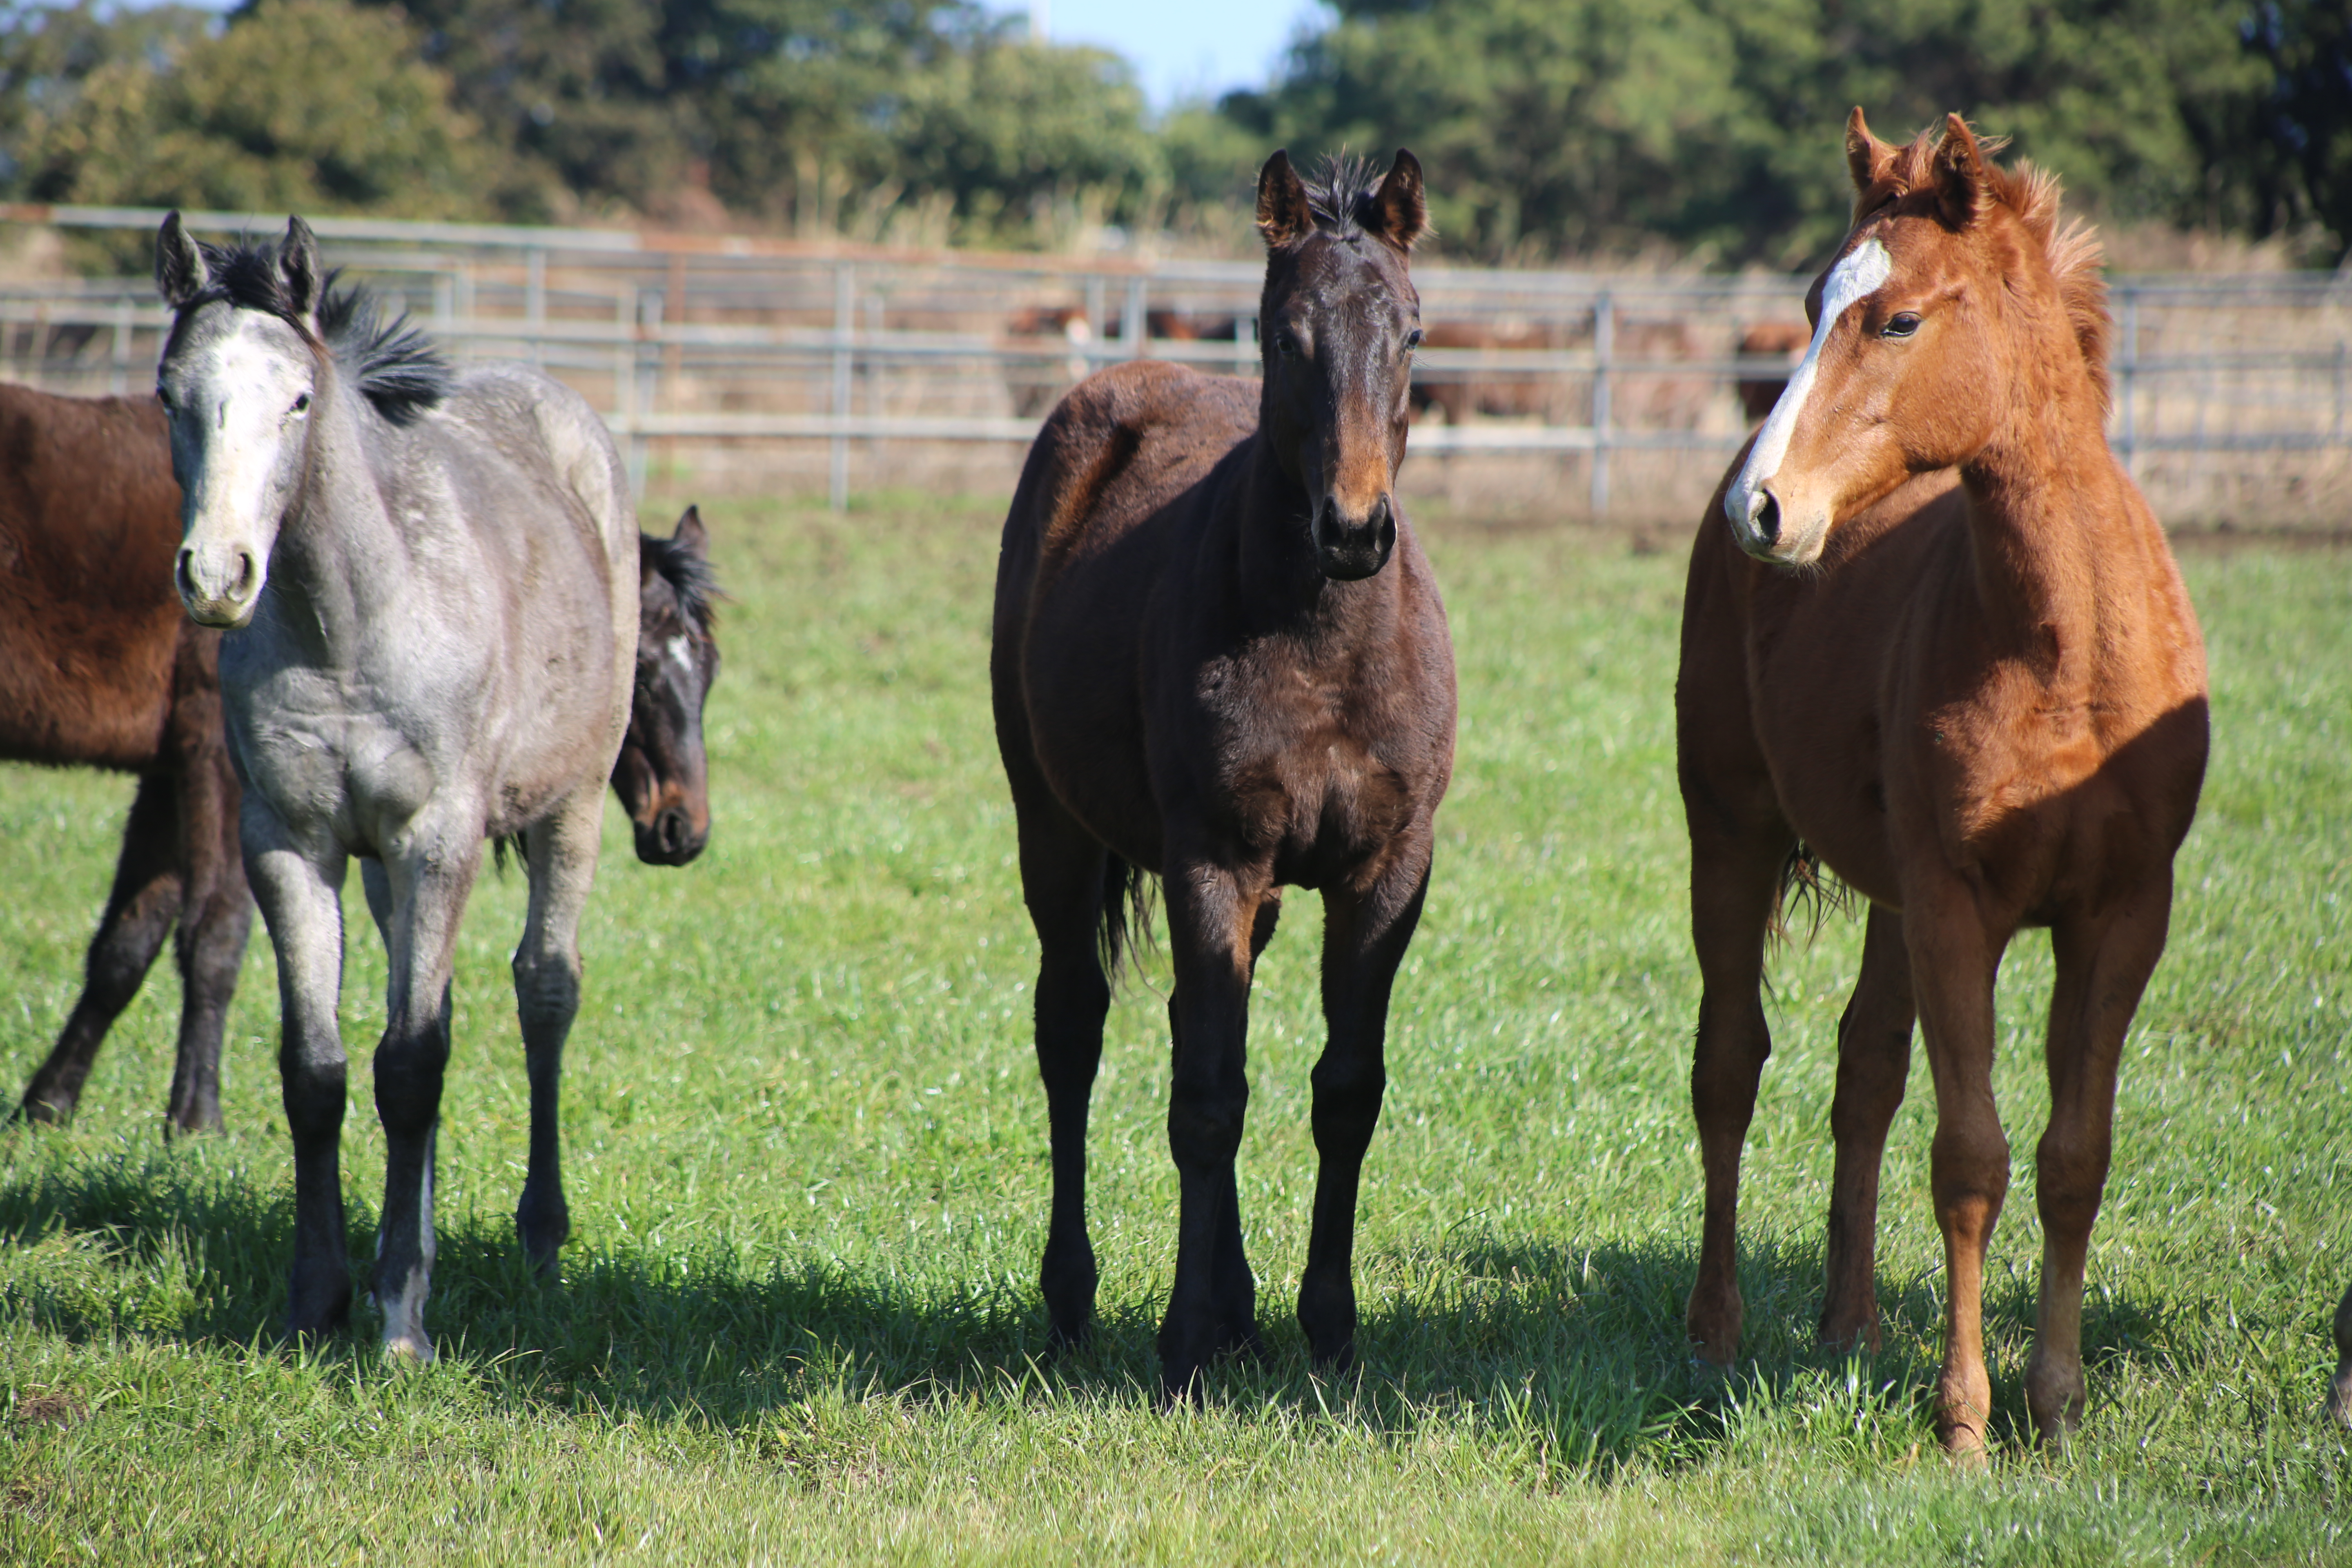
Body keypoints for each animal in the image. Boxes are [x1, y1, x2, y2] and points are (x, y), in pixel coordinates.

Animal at [0, 371, 715, 1128]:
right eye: (643, 673)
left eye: (711, 671)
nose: (684, 828)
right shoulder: (216, 763)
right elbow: (214, 935)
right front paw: (196, 1118)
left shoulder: (171, 771)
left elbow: (127, 942)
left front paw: (47, 1105)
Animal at [157, 215, 644, 1354]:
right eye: (169, 395)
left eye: (297, 399)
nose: (218, 577)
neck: (346, 625)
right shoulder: (290, 842)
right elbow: (322, 1070)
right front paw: (320, 1298)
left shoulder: (437, 834)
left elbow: (412, 1066)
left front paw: (402, 1324)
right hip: (385, 868)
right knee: (433, 1005)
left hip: (570, 809)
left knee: (543, 991)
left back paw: (536, 1237)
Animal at [988, 147, 1449, 1401]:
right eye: (1285, 337)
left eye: (1413, 332)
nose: (1354, 530)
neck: (1321, 642)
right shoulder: (1212, 859)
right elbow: (1207, 1100)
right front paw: (1190, 1337)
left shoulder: (1388, 871)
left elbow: (1345, 1092)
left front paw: (1327, 1329)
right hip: (1053, 832)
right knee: (1072, 1030)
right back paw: (1074, 1298)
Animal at [1675, 110, 2201, 1457]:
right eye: (1811, 300)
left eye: (1898, 319)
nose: (1762, 506)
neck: (2065, 650)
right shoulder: (1962, 905)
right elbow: (1971, 1158)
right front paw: (1965, 1420)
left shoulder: (2122, 914)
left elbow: (2074, 1157)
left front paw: (2056, 1405)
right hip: (1732, 831)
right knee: (1728, 1065)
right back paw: (1718, 1329)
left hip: (1891, 896)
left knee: (1864, 1074)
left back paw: (1850, 1324)